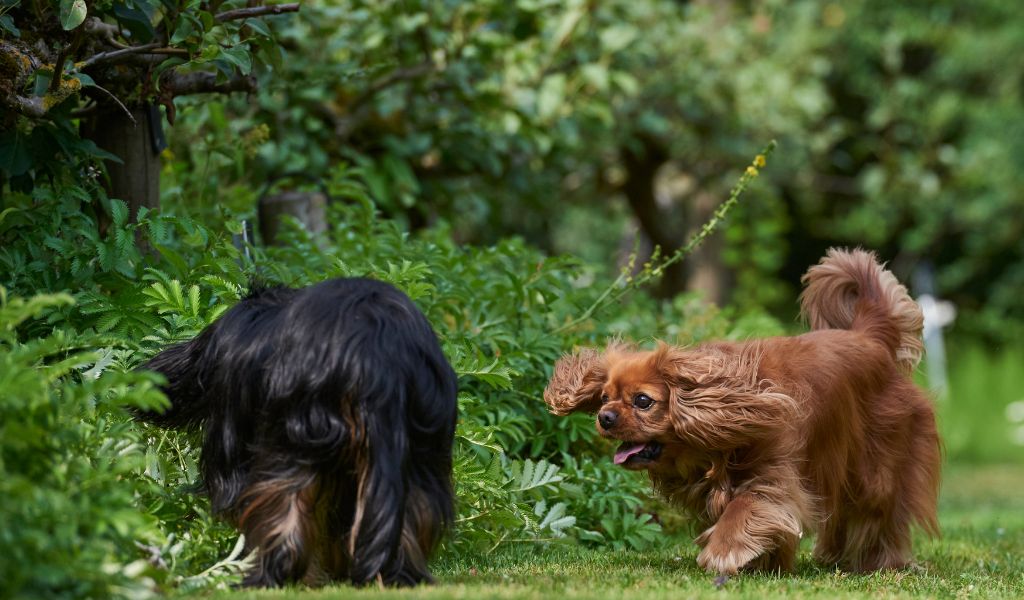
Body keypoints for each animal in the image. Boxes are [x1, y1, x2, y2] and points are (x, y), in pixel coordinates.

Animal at [138, 278, 458, 585]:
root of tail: (376, 349)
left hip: (294, 442)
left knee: (285, 518)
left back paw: (262, 577)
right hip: (420, 453)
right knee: (412, 516)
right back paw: (399, 577)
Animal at [548, 248, 937, 573]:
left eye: (643, 401)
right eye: (604, 398)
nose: (605, 418)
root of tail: (869, 337)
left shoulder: (773, 478)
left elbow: (745, 509)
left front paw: (724, 552)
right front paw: (766, 564)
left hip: (874, 470)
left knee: (879, 517)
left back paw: (880, 562)